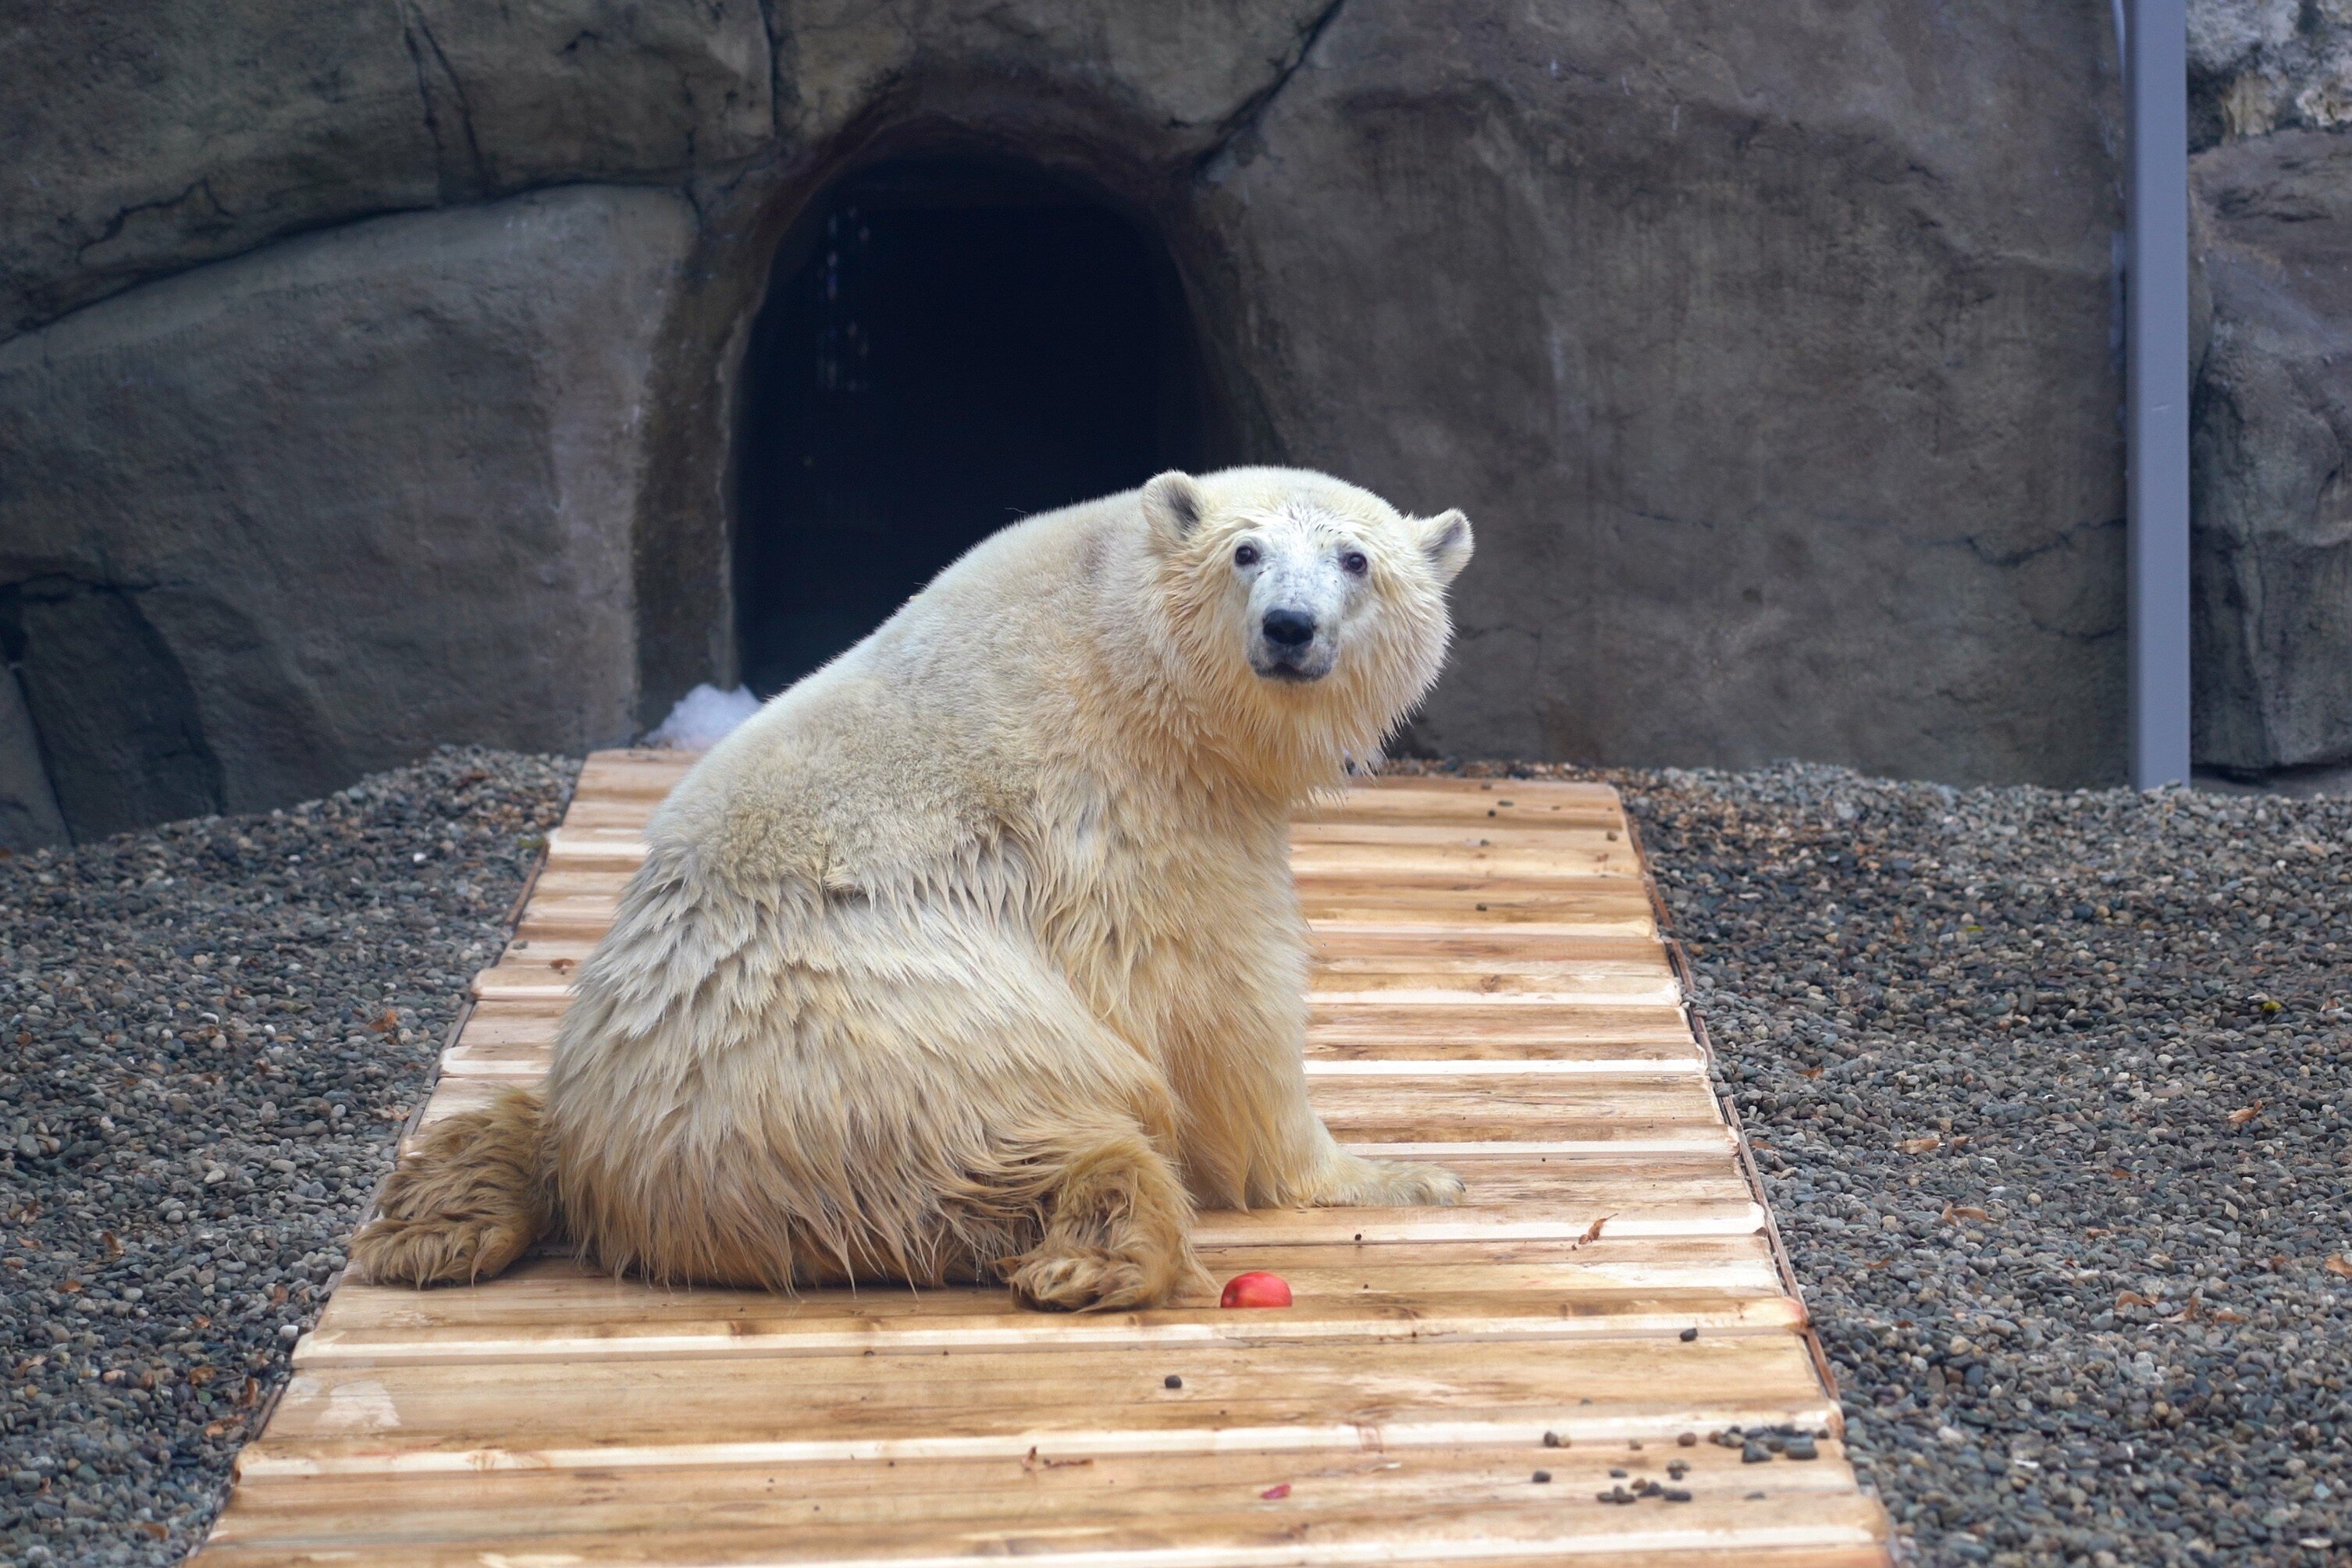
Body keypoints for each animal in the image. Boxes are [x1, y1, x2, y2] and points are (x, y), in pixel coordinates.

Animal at [347, 465, 1468, 1316]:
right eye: (1244, 552)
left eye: (1354, 560)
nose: (1289, 626)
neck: (1126, 647)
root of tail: (627, 1174)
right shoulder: (1135, 815)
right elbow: (1222, 1008)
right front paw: (1397, 1172)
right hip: (890, 1054)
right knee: (1014, 1140)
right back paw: (1097, 1250)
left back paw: (437, 1215)